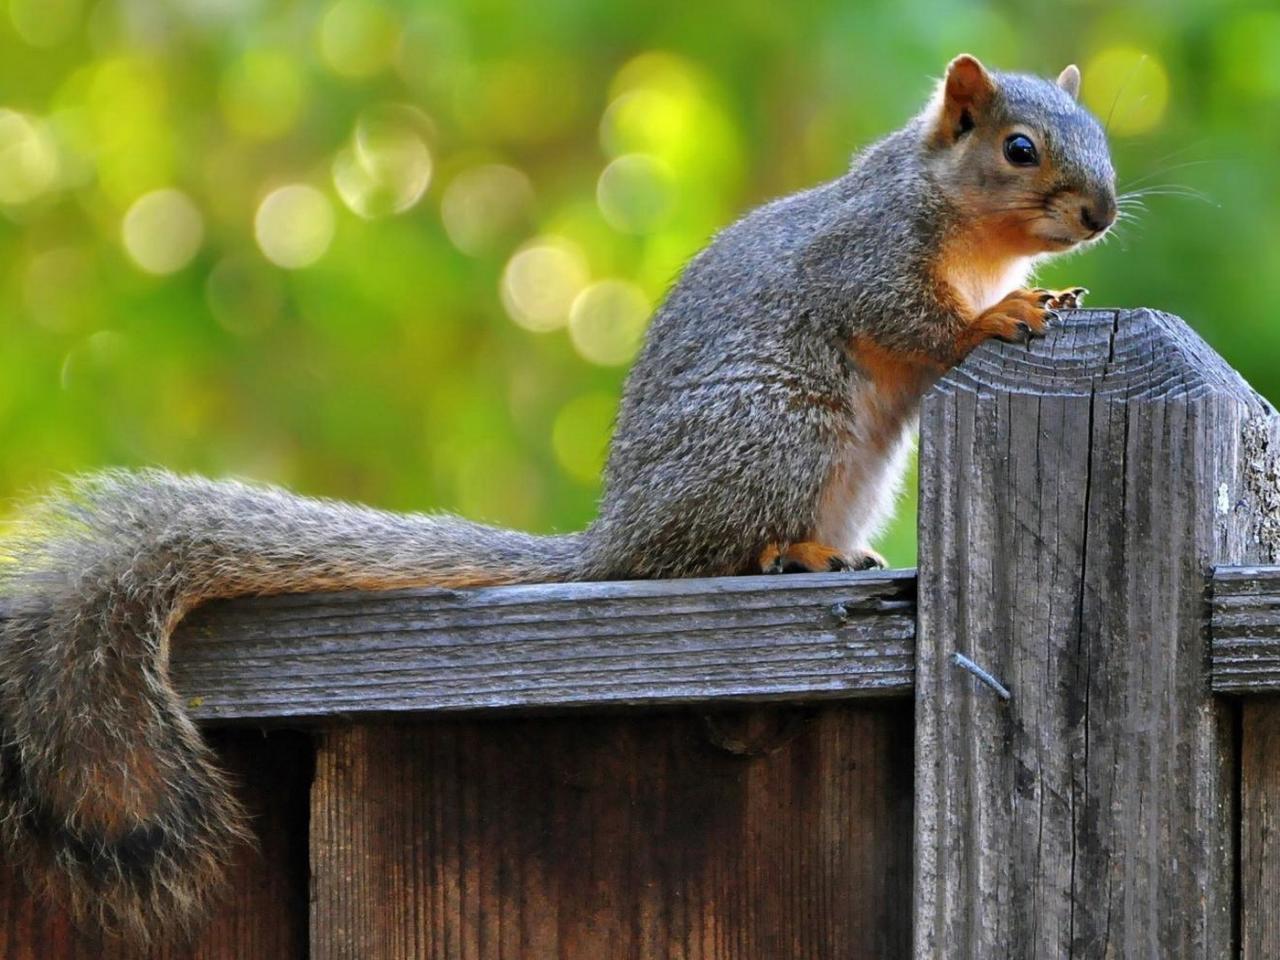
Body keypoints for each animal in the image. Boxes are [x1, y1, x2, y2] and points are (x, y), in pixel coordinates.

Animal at [0, 54, 1111, 947]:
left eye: (1096, 135)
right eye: (1018, 149)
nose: (1099, 215)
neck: (957, 217)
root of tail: (619, 533)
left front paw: (1044, 297)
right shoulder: (867, 254)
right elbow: (913, 318)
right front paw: (996, 317)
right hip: (778, 428)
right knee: (706, 554)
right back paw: (786, 553)